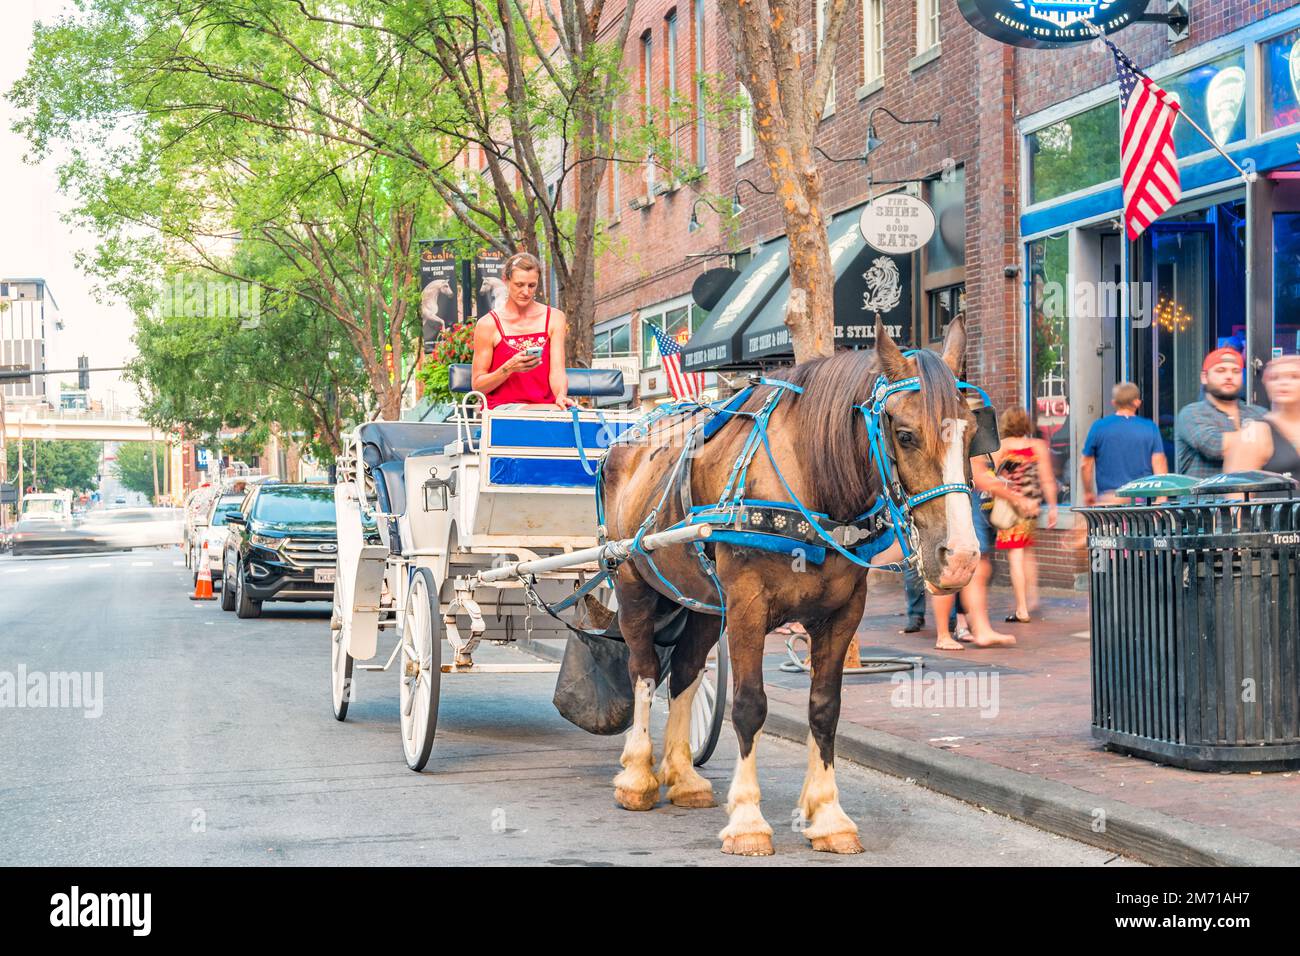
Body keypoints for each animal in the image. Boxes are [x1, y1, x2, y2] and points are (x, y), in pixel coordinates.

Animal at [595, 317, 977, 858]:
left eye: (971, 433)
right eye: (904, 435)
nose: (961, 556)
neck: (813, 485)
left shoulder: (842, 613)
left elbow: (825, 708)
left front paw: (828, 815)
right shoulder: (748, 605)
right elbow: (749, 706)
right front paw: (748, 820)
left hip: (703, 602)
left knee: (685, 671)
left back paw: (684, 776)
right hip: (633, 582)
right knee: (645, 670)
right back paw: (637, 776)